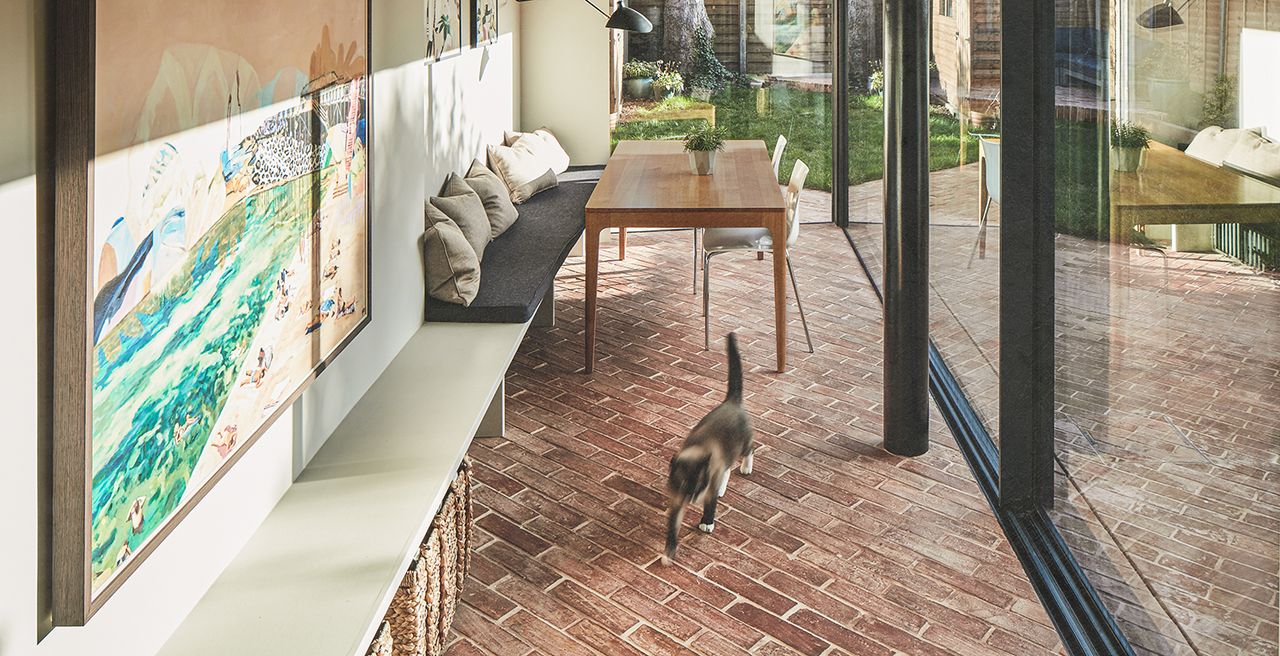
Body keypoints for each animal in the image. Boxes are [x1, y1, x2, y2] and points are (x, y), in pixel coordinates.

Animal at [665, 333, 752, 563]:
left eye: (699, 485)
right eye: (684, 486)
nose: (693, 500)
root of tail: (731, 401)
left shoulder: (709, 487)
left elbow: (711, 505)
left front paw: (707, 523)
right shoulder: (677, 500)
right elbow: (672, 526)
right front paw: (668, 553)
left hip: (743, 445)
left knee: (750, 451)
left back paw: (746, 468)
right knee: (728, 469)